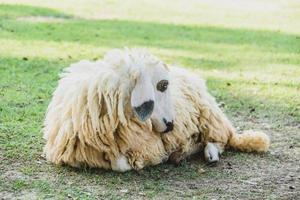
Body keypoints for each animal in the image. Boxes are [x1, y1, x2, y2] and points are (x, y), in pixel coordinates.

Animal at [43, 48, 270, 172]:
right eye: (162, 85)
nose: (171, 125)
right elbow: (117, 163)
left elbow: (123, 164)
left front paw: (145, 160)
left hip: (210, 116)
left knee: (220, 139)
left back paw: (208, 153)